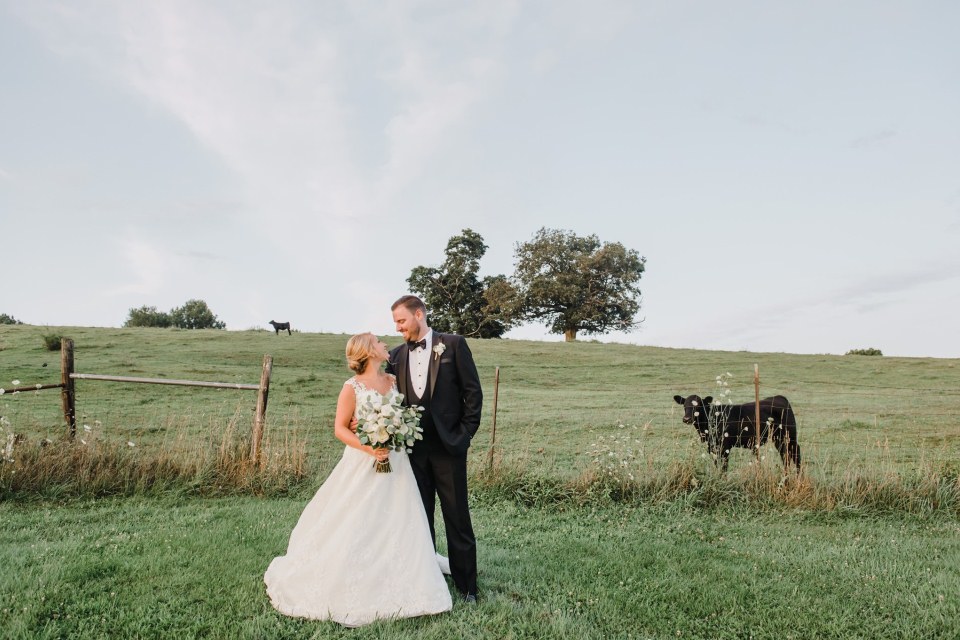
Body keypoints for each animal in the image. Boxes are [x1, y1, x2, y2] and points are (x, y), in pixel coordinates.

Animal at [672, 392, 800, 472]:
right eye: (684, 405)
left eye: (698, 405)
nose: (686, 419)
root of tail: (779, 397)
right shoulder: (713, 447)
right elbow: (717, 465)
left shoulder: (725, 447)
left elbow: (724, 467)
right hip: (778, 438)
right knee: (785, 455)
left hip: (790, 435)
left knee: (796, 453)